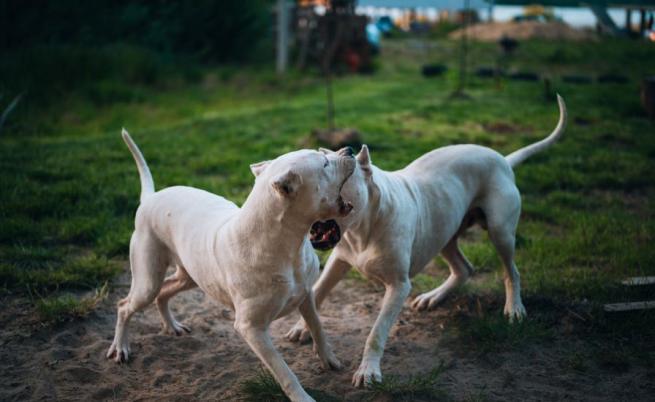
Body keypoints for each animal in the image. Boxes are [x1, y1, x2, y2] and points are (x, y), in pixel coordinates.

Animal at [107, 130, 356, 400]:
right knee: (126, 305)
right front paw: (303, 397)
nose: (350, 150)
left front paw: (329, 360)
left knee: (164, 292)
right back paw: (120, 347)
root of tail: (150, 198)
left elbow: (318, 327)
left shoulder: (306, 295)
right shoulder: (252, 329)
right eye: (324, 163)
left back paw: (171, 326)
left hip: (190, 276)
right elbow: (284, 371)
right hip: (147, 281)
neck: (286, 244)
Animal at [288, 95, 568, 386]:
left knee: (511, 271)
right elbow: (319, 289)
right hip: (444, 232)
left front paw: (368, 370)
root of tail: (502, 158)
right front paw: (303, 328)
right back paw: (432, 298)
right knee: (463, 268)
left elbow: (376, 332)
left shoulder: (398, 286)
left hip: (500, 231)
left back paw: (514, 308)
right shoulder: (340, 258)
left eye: (335, 176)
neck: (363, 227)